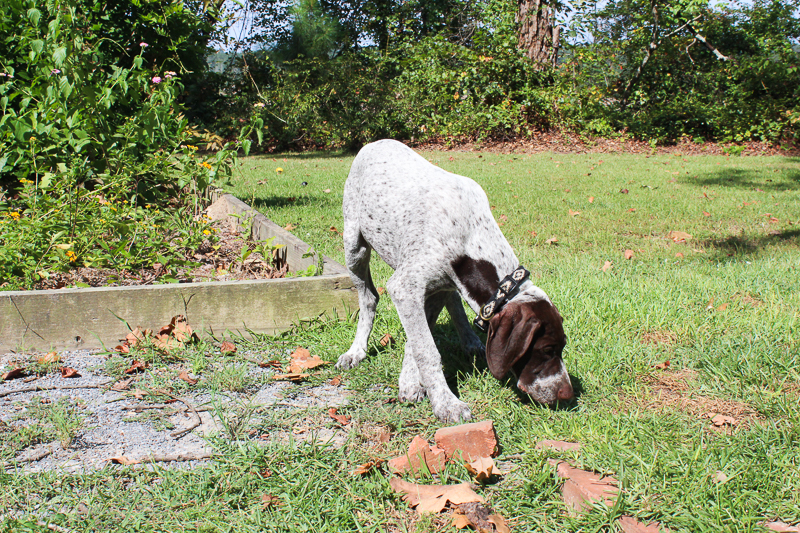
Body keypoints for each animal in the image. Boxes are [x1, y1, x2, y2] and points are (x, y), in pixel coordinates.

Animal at [334, 139, 572, 422]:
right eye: (547, 350)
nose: (567, 394)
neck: (470, 237)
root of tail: (375, 142)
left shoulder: (434, 289)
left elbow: (417, 342)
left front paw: (411, 381)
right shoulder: (406, 287)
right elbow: (426, 350)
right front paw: (446, 403)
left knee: (454, 302)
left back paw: (470, 341)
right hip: (354, 247)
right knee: (369, 298)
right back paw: (356, 351)